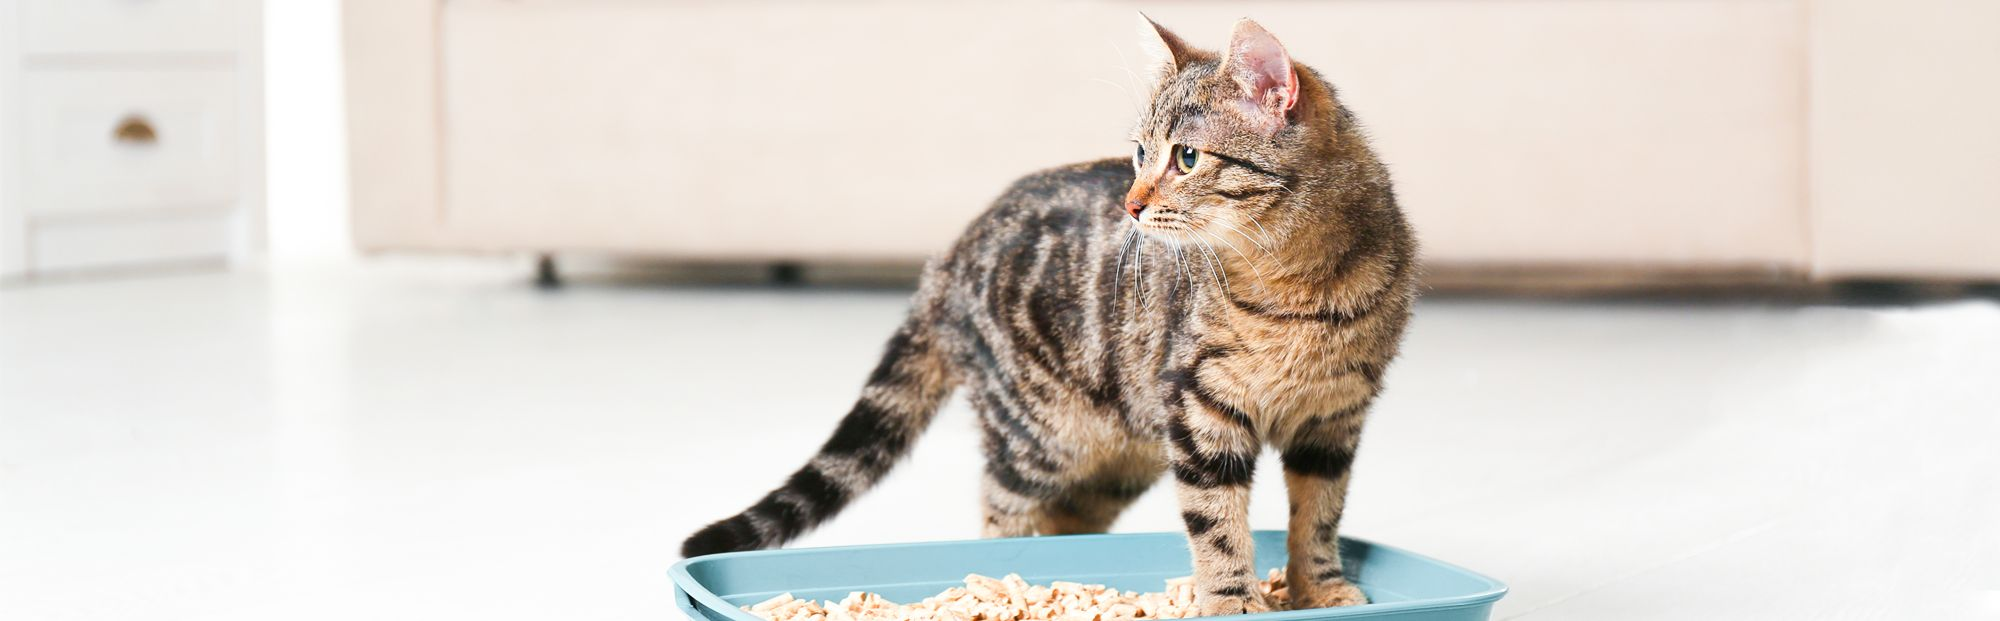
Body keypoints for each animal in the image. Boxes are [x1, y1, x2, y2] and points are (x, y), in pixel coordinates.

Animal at [688, 17, 1424, 612]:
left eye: (1186, 157)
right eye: (1138, 152)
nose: (1130, 202)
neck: (1299, 285)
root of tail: (946, 257)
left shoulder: (1334, 420)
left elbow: (1319, 516)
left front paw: (1320, 588)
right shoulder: (1200, 411)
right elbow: (1217, 525)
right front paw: (1233, 600)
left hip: (1120, 452)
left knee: (1069, 520)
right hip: (1038, 436)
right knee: (1001, 510)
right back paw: (1001, 581)